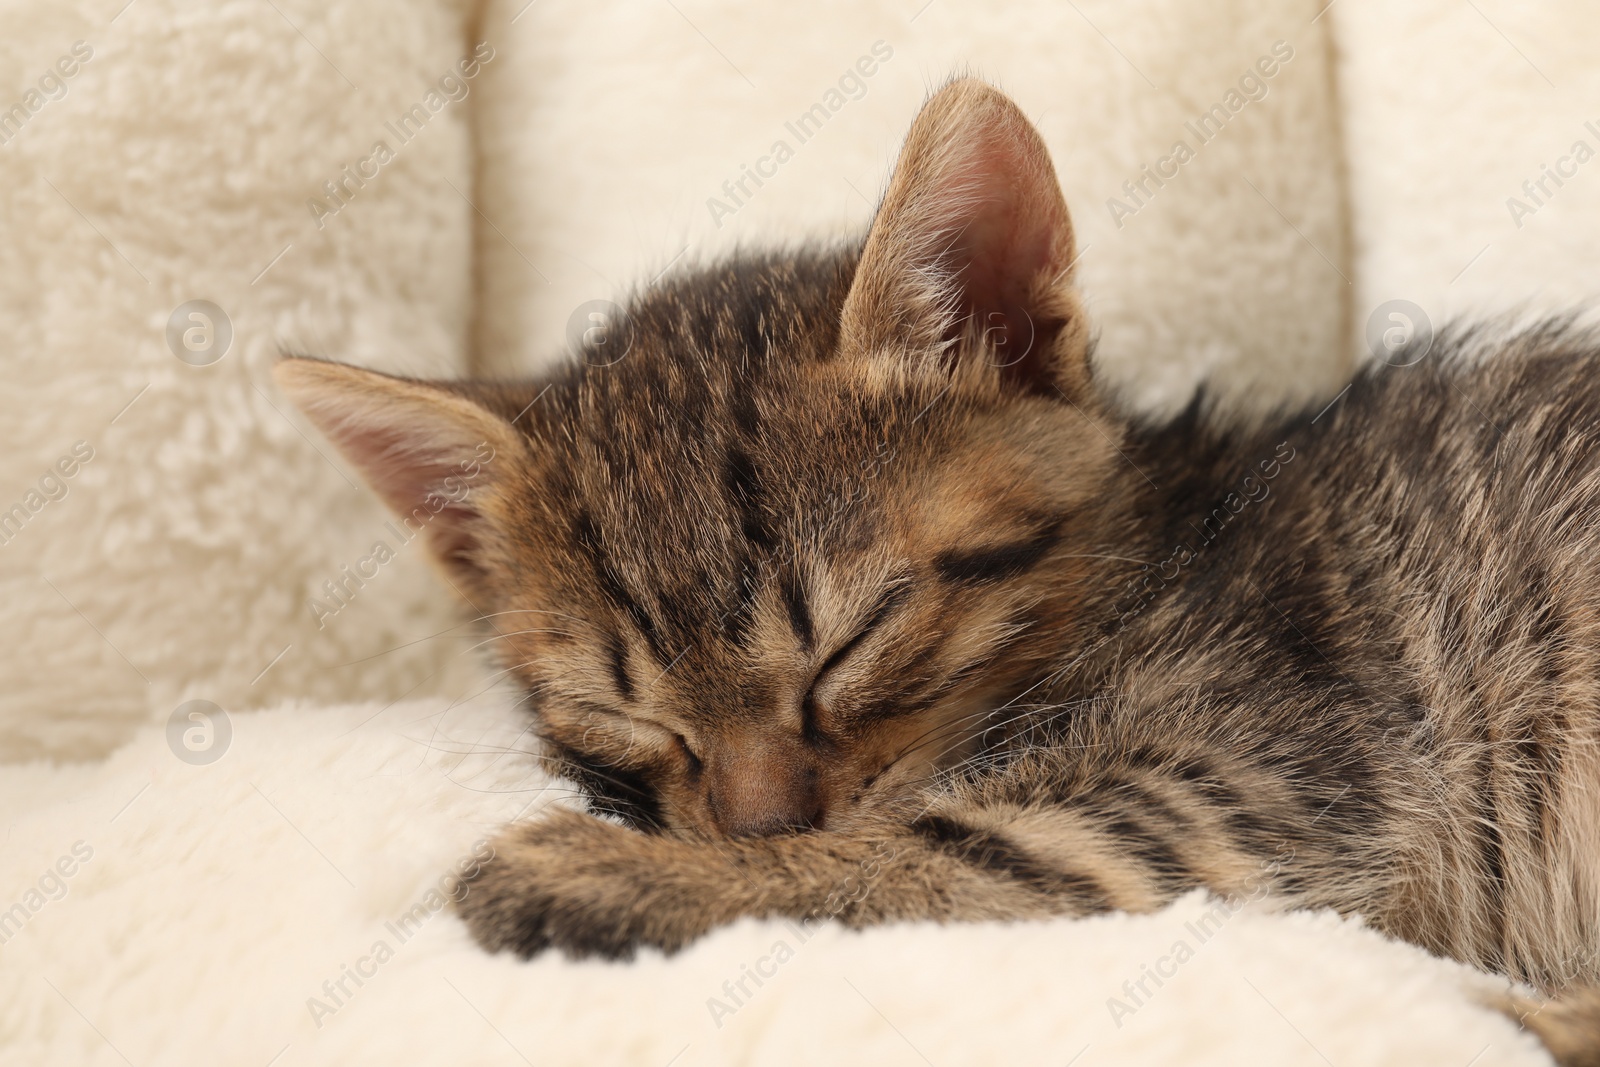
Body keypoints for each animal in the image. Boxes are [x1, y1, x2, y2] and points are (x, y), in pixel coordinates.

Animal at [281, 81, 1600, 1062]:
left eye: (850, 645)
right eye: (625, 713)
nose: (760, 820)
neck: (1138, 553)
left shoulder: (1242, 785)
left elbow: (923, 850)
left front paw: (597, 867)